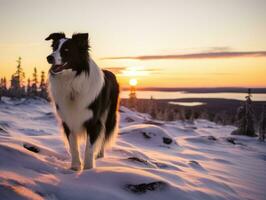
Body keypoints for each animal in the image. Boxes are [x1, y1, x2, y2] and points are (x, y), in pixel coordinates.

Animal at [45, 32, 119, 170]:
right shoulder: (68, 121)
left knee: (104, 135)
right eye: (54, 48)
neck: (72, 82)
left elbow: (89, 148)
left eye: (67, 50)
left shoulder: (93, 122)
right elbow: (73, 146)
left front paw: (88, 169)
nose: (49, 58)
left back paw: (99, 155)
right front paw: (75, 167)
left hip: (109, 116)